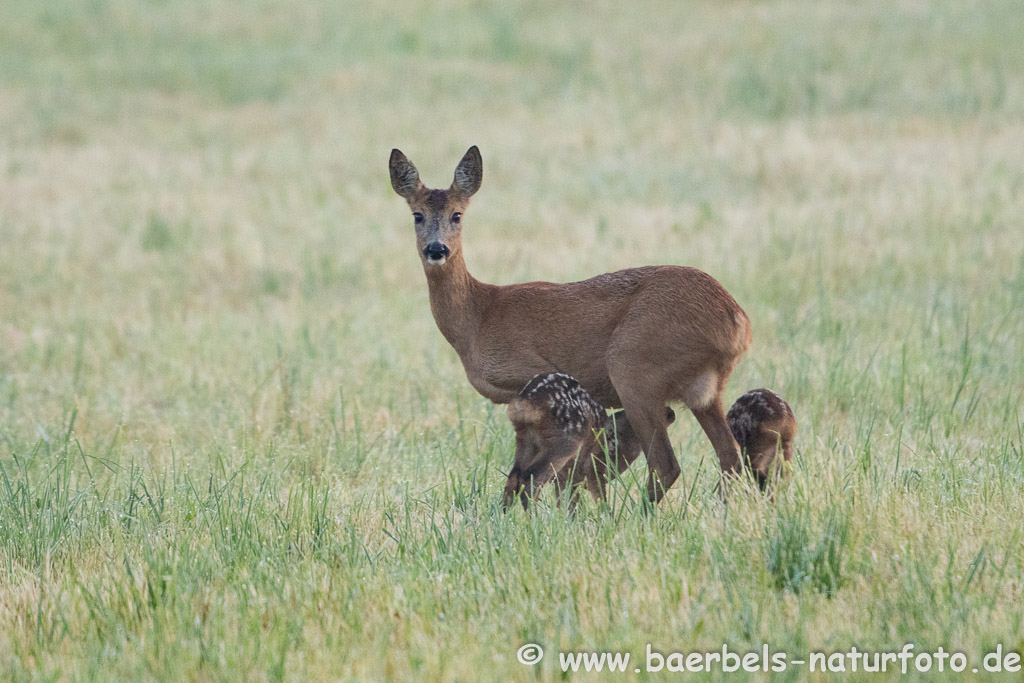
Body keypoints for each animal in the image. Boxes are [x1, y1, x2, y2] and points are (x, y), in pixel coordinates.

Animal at [389, 147, 753, 501]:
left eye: (457, 214)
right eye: (417, 215)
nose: (437, 249)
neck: (478, 318)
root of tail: (738, 323)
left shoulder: (532, 371)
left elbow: (558, 474)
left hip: (634, 366)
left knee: (666, 464)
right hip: (704, 391)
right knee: (730, 455)